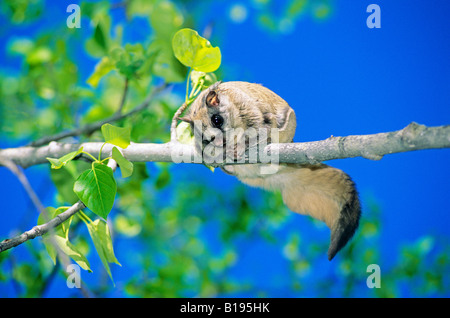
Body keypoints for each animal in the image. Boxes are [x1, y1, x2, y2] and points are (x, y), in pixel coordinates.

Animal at [178, 80, 360, 260]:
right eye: (204, 138)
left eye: (217, 120)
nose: (217, 142)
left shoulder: (251, 111)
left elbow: (260, 132)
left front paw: (238, 147)